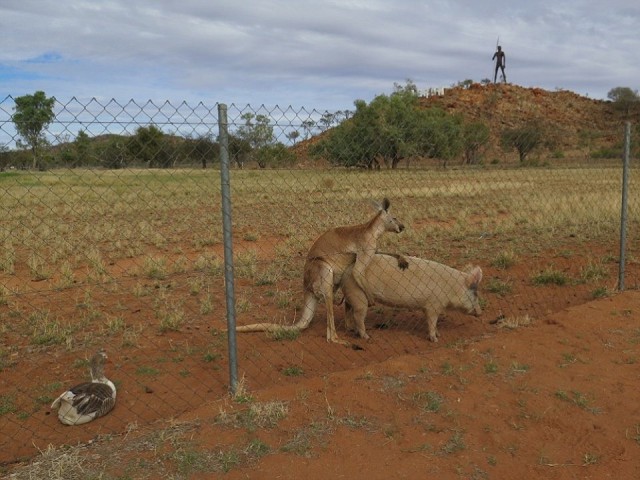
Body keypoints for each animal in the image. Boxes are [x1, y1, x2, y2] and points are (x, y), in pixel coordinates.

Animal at [342, 255, 482, 342]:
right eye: (475, 294)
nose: (481, 313)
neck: (452, 287)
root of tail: (346, 270)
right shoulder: (433, 305)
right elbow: (432, 322)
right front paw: (435, 339)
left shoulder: (428, 306)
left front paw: (439, 334)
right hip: (358, 295)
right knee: (358, 316)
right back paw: (367, 337)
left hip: (351, 294)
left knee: (348, 309)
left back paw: (350, 328)